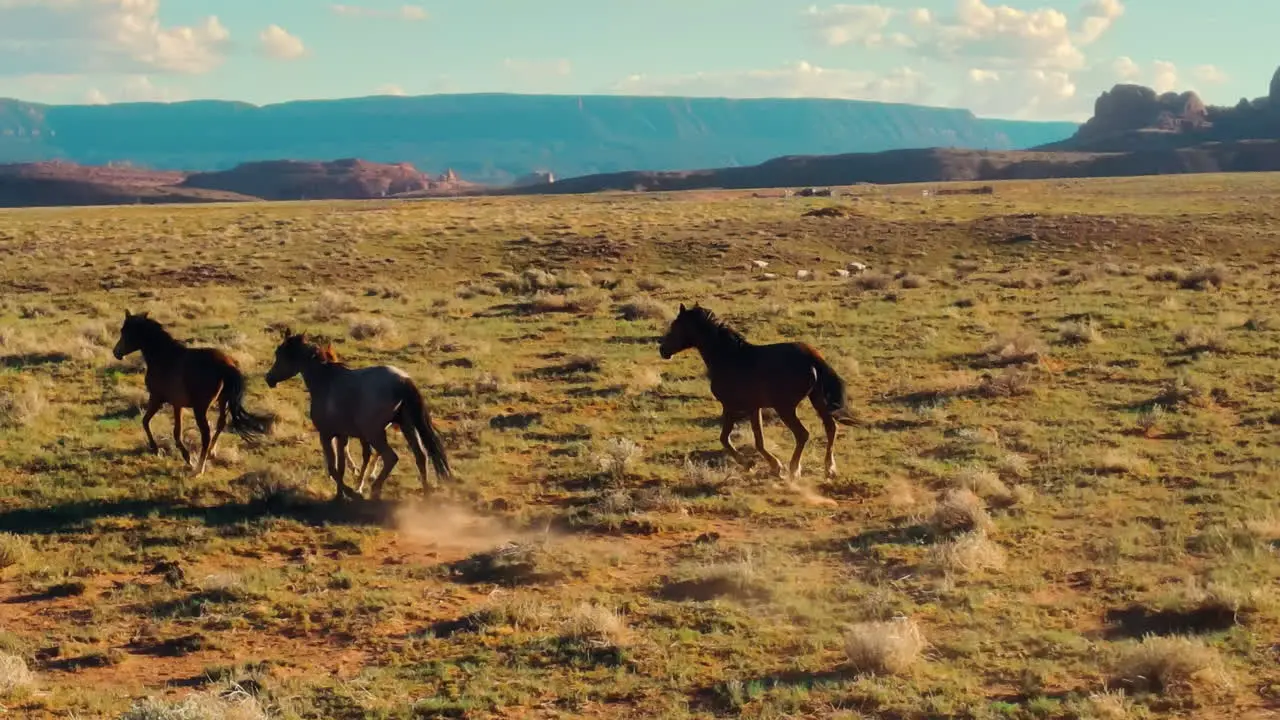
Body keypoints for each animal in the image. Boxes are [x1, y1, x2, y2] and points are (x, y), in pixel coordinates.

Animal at [113, 307, 276, 471]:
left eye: (124, 331)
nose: (116, 352)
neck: (164, 357)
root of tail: (226, 365)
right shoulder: (177, 404)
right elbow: (176, 431)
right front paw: (184, 455)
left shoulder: (157, 398)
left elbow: (146, 421)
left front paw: (161, 450)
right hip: (222, 401)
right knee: (221, 423)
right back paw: (211, 452)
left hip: (200, 408)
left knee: (206, 433)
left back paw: (198, 469)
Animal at [262, 326, 453, 499]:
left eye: (280, 354)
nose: (268, 378)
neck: (326, 381)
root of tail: (403, 381)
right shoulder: (342, 435)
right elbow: (340, 467)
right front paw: (340, 495)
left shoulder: (326, 434)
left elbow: (332, 468)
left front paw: (350, 492)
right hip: (406, 426)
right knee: (421, 456)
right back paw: (426, 494)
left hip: (375, 432)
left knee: (391, 457)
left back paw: (375, 490)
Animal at [655, 301, 855, 476]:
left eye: (676, 326)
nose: (663, 350)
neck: (728, 357)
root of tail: (813, 357)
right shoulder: (754, 407)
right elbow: (759, 440)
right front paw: (774, 466)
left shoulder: (730, 406)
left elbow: (725, 438)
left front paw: (749, 464)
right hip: (817, 400)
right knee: (831, 427)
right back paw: (829, 469)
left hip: (785, 407)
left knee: (803, 434)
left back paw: (794, 469)